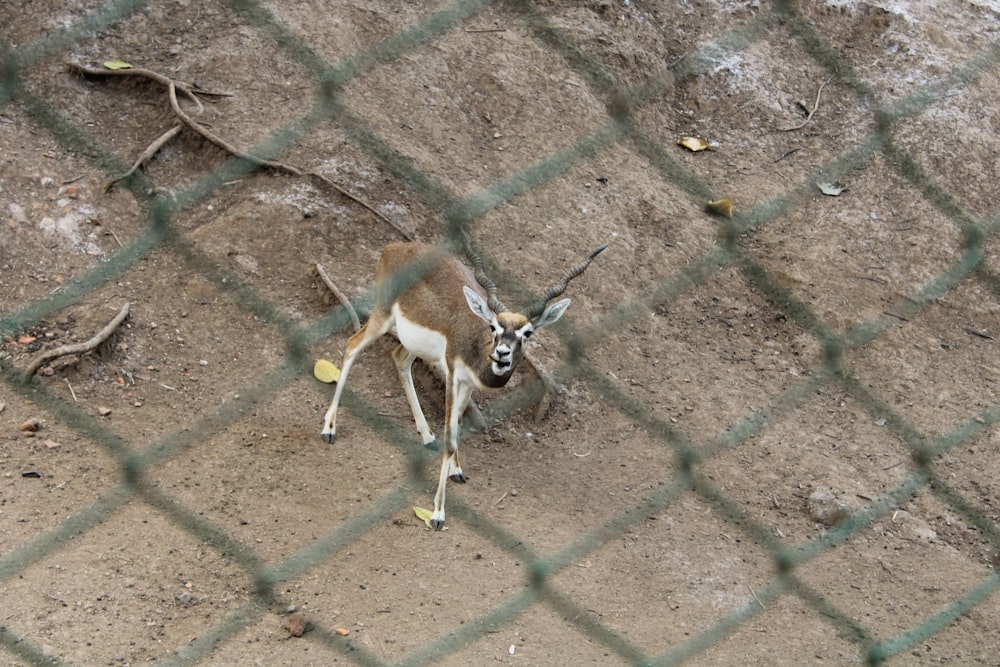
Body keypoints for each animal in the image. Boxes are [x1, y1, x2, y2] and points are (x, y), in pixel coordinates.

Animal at [320, 237, 604, 528]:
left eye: (527, 333)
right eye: (494, 327)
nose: (502, 354)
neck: (477, 346)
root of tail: (395, 248)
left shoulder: (467, 384)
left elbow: (456, 428)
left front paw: (455, 470)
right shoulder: (452, 376)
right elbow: (450, 437)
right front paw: (437, 513)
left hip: (414, 344)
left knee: (398, 359)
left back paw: (426, 436)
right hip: (382, 316)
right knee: (352, 345)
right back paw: (329, 429)